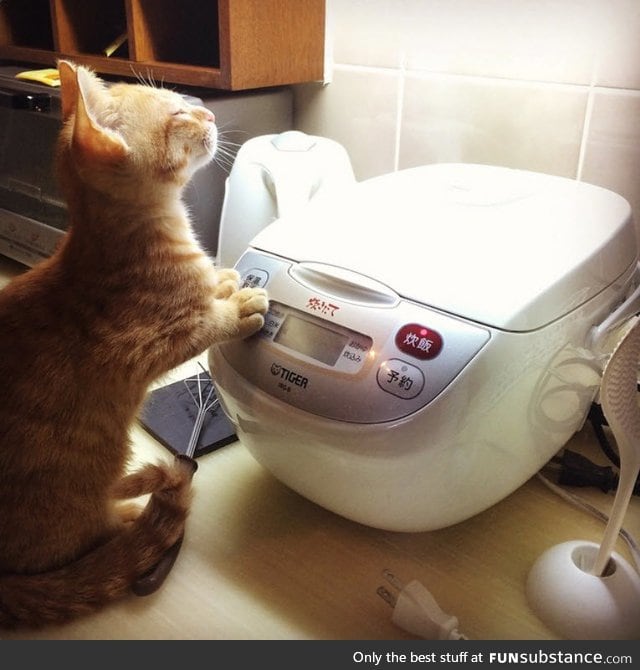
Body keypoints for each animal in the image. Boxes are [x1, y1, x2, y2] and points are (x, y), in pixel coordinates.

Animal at [0, 59, 268, 632]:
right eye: (177, 113)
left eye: (185, 100)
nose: (210, 113)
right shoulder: (142, 346)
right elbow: (204, 324)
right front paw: (237, 305)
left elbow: (212, 284)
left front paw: (225, 280)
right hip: (81, 487)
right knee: (90, 539)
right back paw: (132, 517)